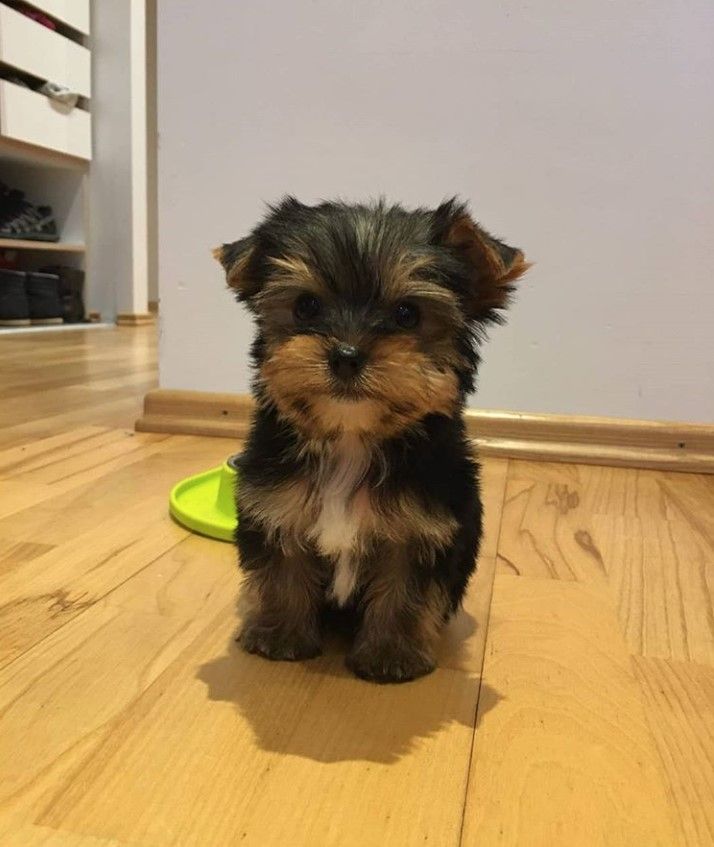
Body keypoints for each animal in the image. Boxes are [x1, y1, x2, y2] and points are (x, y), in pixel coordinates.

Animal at [214, 197, 524, 684]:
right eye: (306, 307)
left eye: (407, 314)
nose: (346, 354)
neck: (351, 439)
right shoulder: (277, 505)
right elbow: (283, 570)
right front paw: (281, 635)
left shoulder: (419, 528)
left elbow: (404, 590)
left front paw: (390, 654)